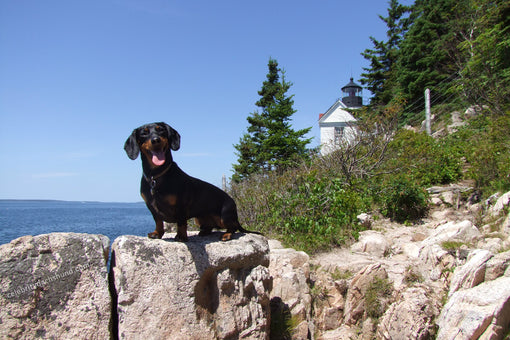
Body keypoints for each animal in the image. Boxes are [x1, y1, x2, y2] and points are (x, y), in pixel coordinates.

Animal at [123, 122, 258, 242]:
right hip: (199, 219)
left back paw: (227, 234)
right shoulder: (151, 207)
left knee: (233, 228)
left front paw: (181, 236)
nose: (156, 140)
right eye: (144, 133)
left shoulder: (181, 205)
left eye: (161, 130)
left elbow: (181, 223)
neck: (156, 176)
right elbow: (158, 221)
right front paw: (157, 233)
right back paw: (204, 232)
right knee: (209, 227)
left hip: (225, 216)